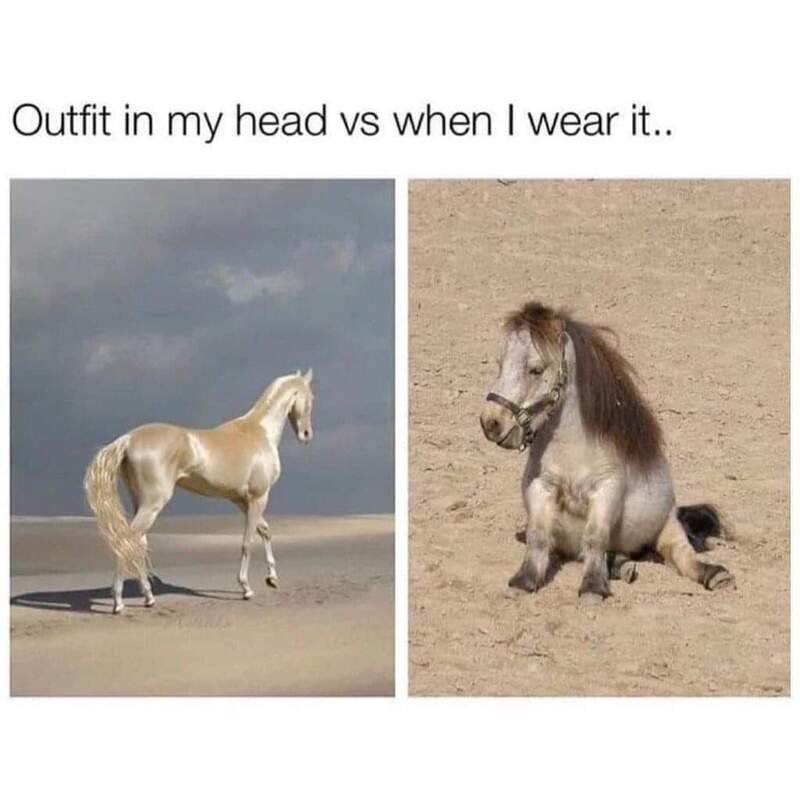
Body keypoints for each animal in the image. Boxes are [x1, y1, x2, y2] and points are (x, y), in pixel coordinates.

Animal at [84, 369, 314, 614]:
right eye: (311, 398)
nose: (306, 434)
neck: (258, 432)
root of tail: (129, 439)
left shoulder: (242, 501)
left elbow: (265, 531)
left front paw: (272, 578)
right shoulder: (258, 497)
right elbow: (247, 542)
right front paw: (246, 588)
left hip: (141, 503)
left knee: (137, 543)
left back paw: (148, 597)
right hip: (152, 504)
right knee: (127, 541)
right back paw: (118, 603)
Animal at [479, 302, 734, 601]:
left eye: (535, 369)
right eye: (500, 364)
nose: (491, 423)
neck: (573, 449)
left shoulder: (607, 489)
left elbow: (595, 536)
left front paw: (592, 587)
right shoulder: (541, 486)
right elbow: (538, 536)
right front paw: (524, 581)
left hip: (668, 526)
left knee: (680, 553)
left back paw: (715, 574)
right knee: (616, 556)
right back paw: (623, 567)